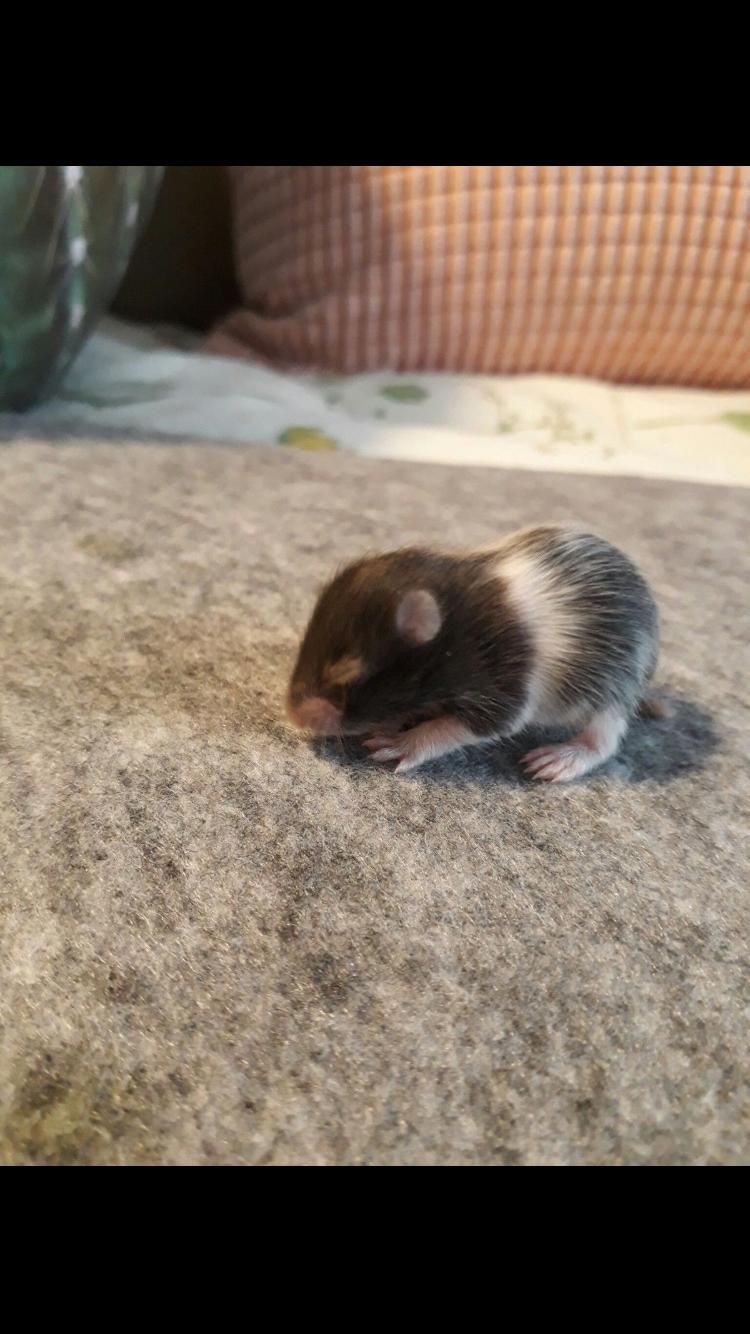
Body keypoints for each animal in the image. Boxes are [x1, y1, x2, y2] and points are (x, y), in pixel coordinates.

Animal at [286, 525, 660, 782]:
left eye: (347, 672)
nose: (293, 716)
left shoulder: (502, 681)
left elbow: (472, 725)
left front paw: (406, 740)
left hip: (617, 681)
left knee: (606, 736)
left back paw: (567, 756)